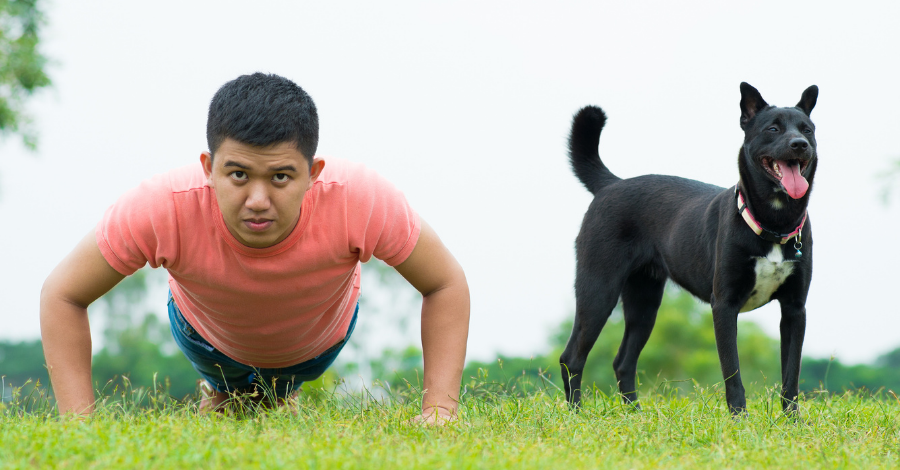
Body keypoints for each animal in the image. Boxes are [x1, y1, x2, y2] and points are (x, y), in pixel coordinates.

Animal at [568, 82, 820, 414]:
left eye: (808, 129)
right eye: (773, 128)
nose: (800, 144)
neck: (772, 223)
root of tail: (610, 184)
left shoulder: (794, 309)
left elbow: (791, 376)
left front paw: (792, 422)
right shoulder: (724, 305)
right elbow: (733, 373)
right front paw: (740, 420)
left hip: (644, 302)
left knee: (623, 362)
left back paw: (634, 416)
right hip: (598, 290)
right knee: (573, 357)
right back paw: (575, 414)